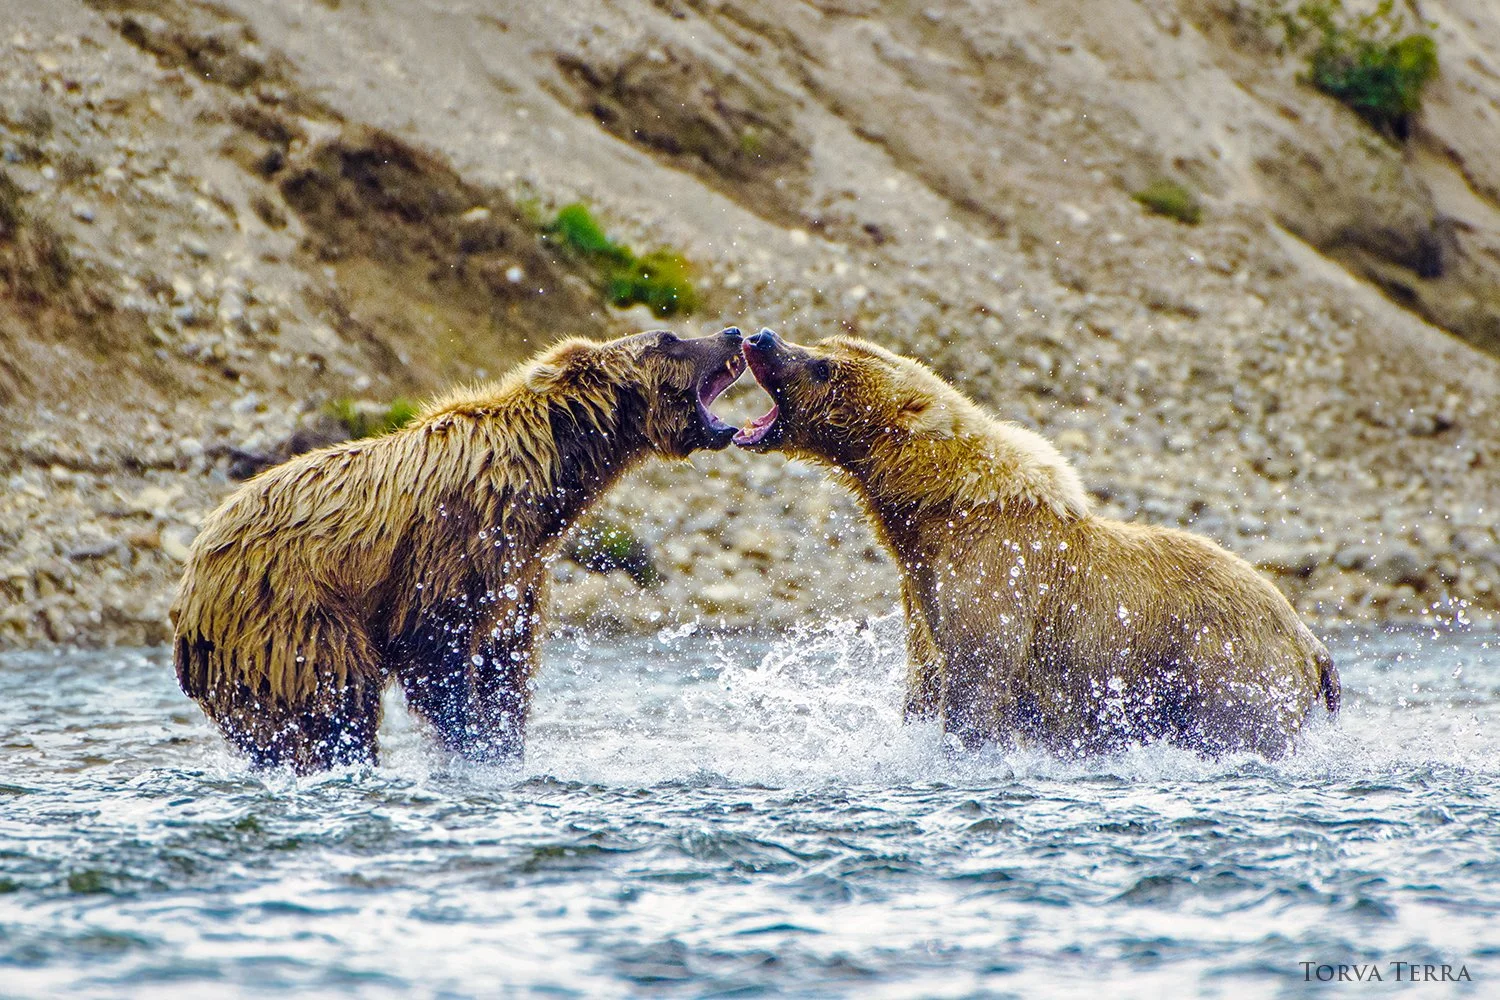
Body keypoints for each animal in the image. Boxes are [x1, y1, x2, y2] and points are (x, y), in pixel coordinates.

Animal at [171, 327, 748, 773]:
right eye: (668, 339)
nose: (733, 333)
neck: (547, 477)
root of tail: (192, 573)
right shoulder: (454, 539)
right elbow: (434, 645)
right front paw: (468, 742)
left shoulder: (518, 573)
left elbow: (505, 669)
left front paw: (501, 748)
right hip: (287, 610)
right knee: (334, 702)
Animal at [734, 329, 1339, 758]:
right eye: (825, 343)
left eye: (823, 365)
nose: (761, 337)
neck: (931, 514)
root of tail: (1310, 640)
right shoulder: (921, 598)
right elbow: (925, 680)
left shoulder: (998, 574)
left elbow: (980, 679)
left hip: (1225, 668)